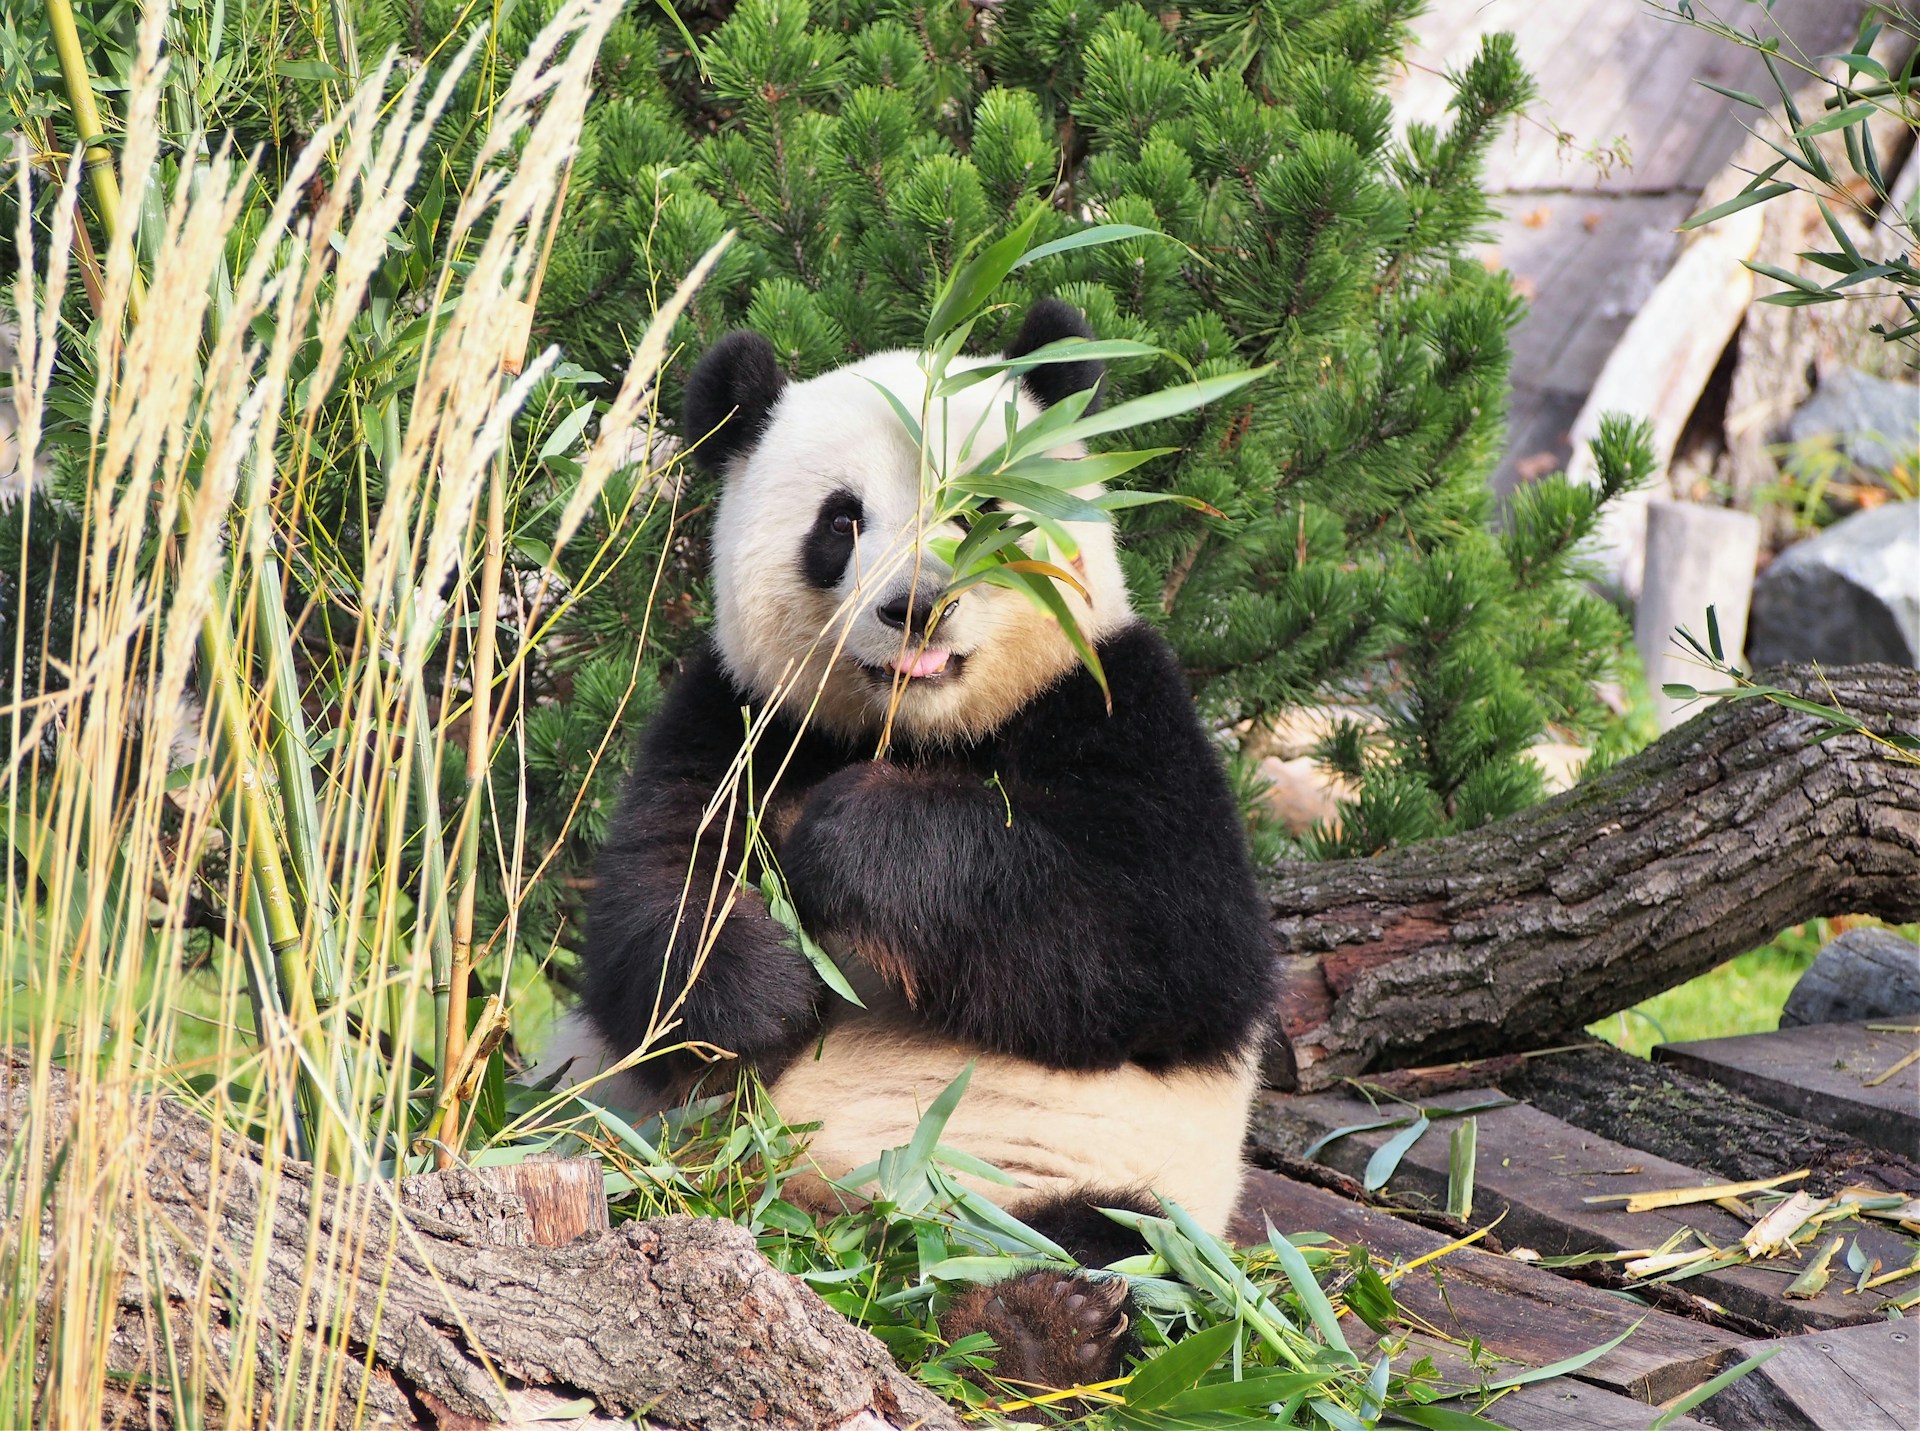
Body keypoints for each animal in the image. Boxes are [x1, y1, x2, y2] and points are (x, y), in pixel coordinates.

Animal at [552, 298, 1275, 1396]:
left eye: (987, 507)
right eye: (841, 520)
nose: (918, 604)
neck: (919, 734)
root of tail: (823, 1223)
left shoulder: (1119, 703)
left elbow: (1169, 945)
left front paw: (853, 840)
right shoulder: (740, 717)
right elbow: (652, 903)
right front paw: (762, 988)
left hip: (1072, 1185)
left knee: (1125, 1241)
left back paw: (1038, 1320)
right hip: (642, 1144)